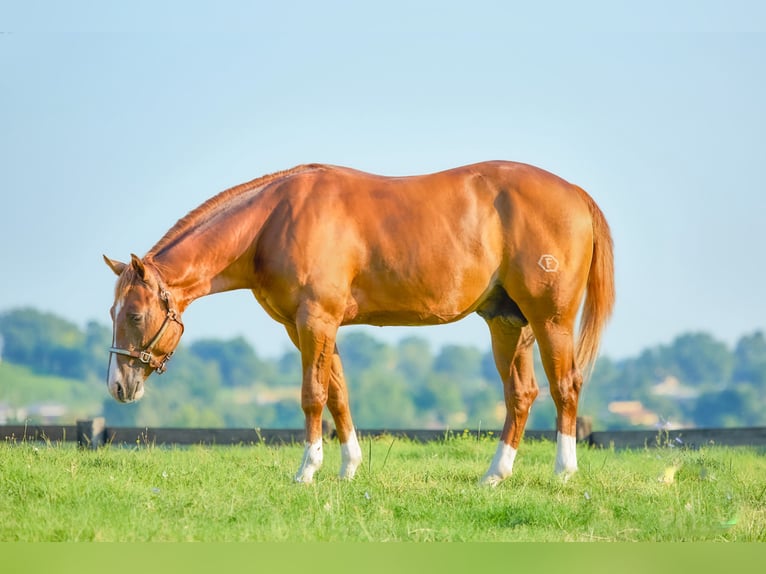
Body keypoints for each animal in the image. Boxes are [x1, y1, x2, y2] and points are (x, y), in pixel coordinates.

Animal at [105, 161, 616, 486]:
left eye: (134, 314)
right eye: (112, 313)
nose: (118, 385)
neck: (274, 220)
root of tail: (576, 194)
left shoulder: (316, 320)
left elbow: (313, 396)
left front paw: (307, 471)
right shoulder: (310, 327)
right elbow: (338, 395)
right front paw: (349, 467)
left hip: (551, 320)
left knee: (565, 387)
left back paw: (564, 472)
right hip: (508, 323)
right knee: (521, 395)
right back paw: (494, 475)